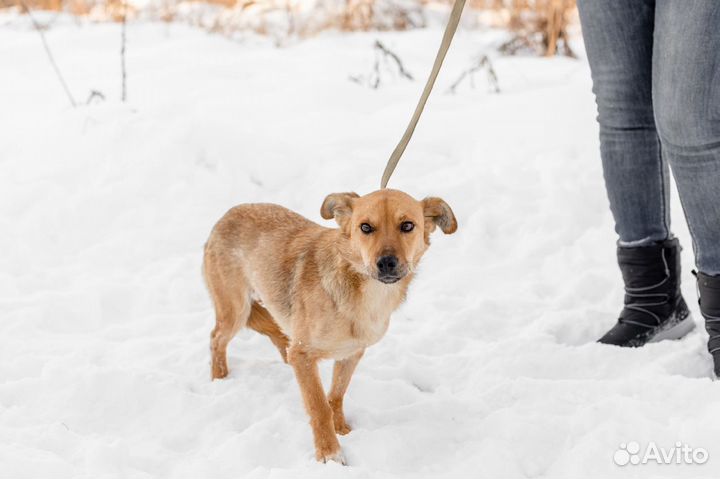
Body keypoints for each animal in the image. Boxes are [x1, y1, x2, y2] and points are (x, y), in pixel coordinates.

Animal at [202, 190, 456, 464]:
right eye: (365, 227)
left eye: (407, 226)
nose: (386, 263)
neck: (365, 291)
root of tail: (226, 216)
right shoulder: (303, 353)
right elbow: (319, 406)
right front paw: (329, 452)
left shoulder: (351, 353)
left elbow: (335, 396)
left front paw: (341, 429)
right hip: (235, 309)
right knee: (216, 338)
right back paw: (220, 379)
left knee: (279, 338)